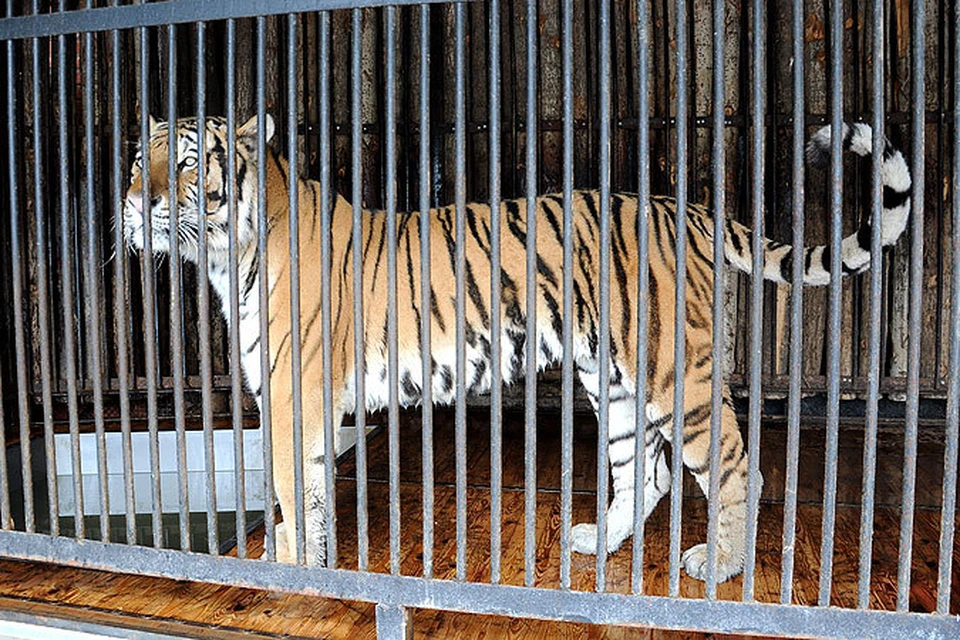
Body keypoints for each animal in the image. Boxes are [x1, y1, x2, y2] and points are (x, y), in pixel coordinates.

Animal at [124, 114, 912, 580]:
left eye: (189, 164)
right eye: (137, 160)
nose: (136, 201)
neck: (227, 257)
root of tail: (688, 209)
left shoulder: (297, 396)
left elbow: (292, 490)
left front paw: (285, 567)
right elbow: (311, 491)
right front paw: (305, 561)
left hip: (675, 375)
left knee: (737, 463)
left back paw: (718, 565)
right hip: (611, 379)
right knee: (646, 472)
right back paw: (597, 542)